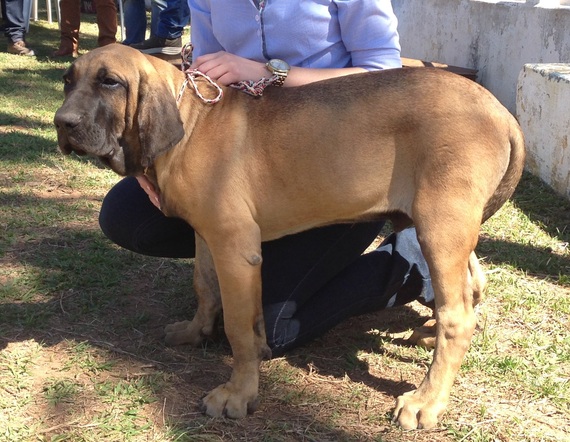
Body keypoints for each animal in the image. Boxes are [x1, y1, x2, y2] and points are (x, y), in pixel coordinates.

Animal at [54, 44, 524, 428]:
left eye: (110, 82)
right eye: (67, 80)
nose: (62, 123)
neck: (191, 118)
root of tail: (502, 113)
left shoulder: (234, 246)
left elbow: (239, 327)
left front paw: (238, 394)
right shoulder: (209, 236)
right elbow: (206, 288)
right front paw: (197, 331)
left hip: (439, 222)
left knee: (456, 314)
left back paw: (426, 399)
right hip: (433, 222)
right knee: (472, 282)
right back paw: (428, 331)